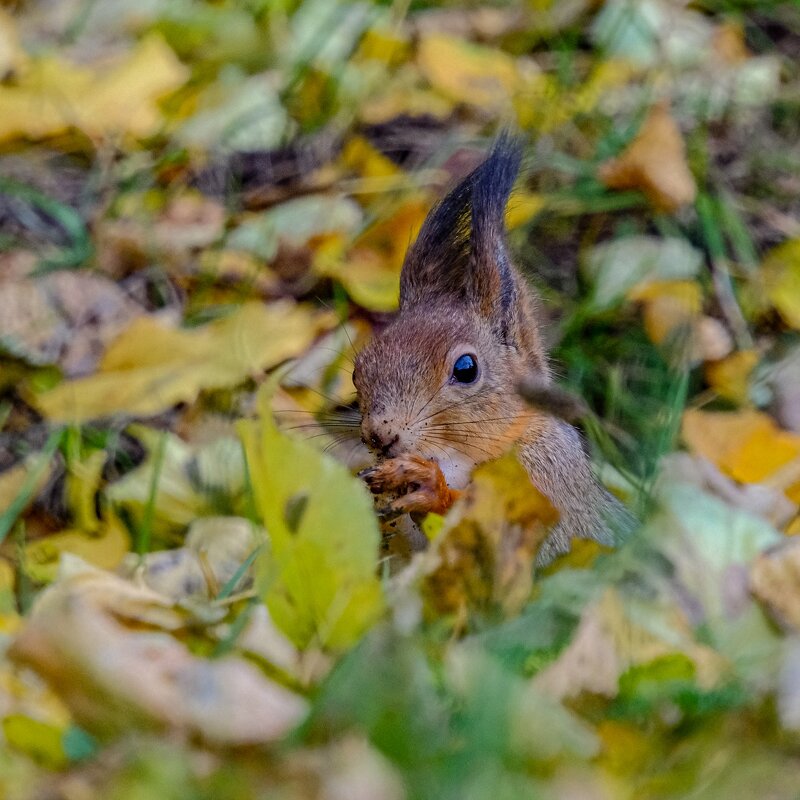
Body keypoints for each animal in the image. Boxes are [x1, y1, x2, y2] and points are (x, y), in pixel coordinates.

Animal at [354, 136, 636, 564]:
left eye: (466, 369)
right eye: (358, 370)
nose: (379, 435)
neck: (458, 460)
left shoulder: (546, 486)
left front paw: (427, 487)